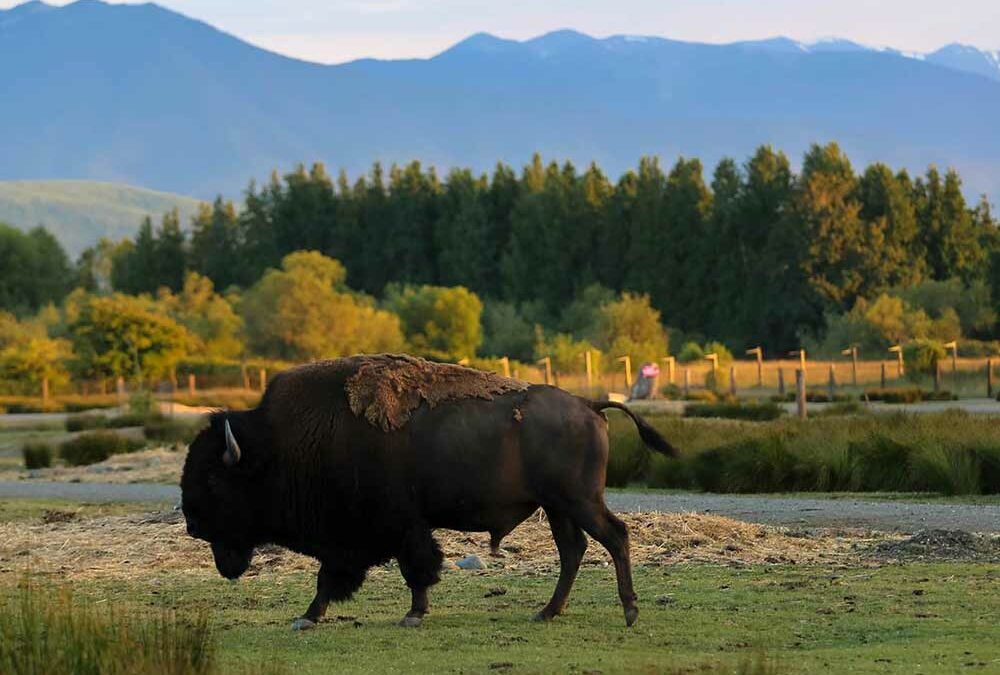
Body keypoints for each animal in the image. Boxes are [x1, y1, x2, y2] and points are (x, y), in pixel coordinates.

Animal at [183, 356, 676, 632]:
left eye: (213, 481)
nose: (191, 523)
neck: (278, 446)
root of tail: (589, 405)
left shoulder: (396, 528)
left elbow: (412, 569)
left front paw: (413, 615)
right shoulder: (360, 536)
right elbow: (333, 578)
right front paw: (310, 615)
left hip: (579, 501)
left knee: (615, 537)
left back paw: (629, 612)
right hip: (557, 507)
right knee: (574, 550)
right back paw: (547, 612)